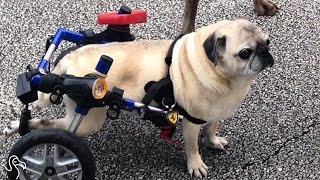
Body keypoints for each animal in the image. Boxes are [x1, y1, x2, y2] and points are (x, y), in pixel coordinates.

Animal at [3, 18, 274, 177]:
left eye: (268, 42)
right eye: (244, 53)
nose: (265, 53)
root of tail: (66, 63)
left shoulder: (213, 113)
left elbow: (211, 129)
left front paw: (213, 140)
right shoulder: (190, 122)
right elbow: (192, 146)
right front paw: (195, 163)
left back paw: (17, 125)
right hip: (87, 119)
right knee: (53, 128)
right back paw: (21, 129)